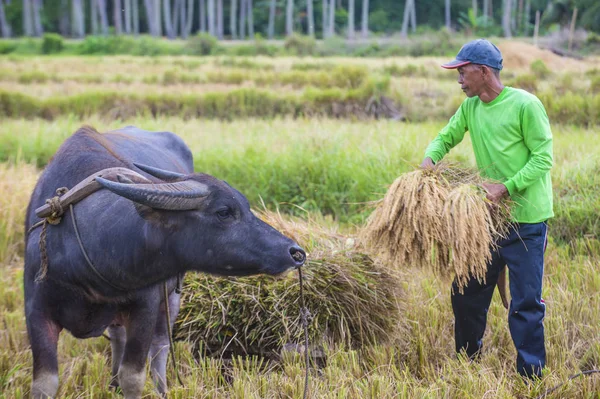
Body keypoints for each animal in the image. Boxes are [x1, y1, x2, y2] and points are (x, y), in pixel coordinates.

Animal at [24, 126, 308, 398]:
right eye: (224, 212)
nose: (295, 252)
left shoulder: (146, 307)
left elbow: (133, 376)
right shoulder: (36, 311)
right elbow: (44, 384)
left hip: (172, 298)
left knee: (160, 346)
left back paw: (161, 390)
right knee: (119, 336)